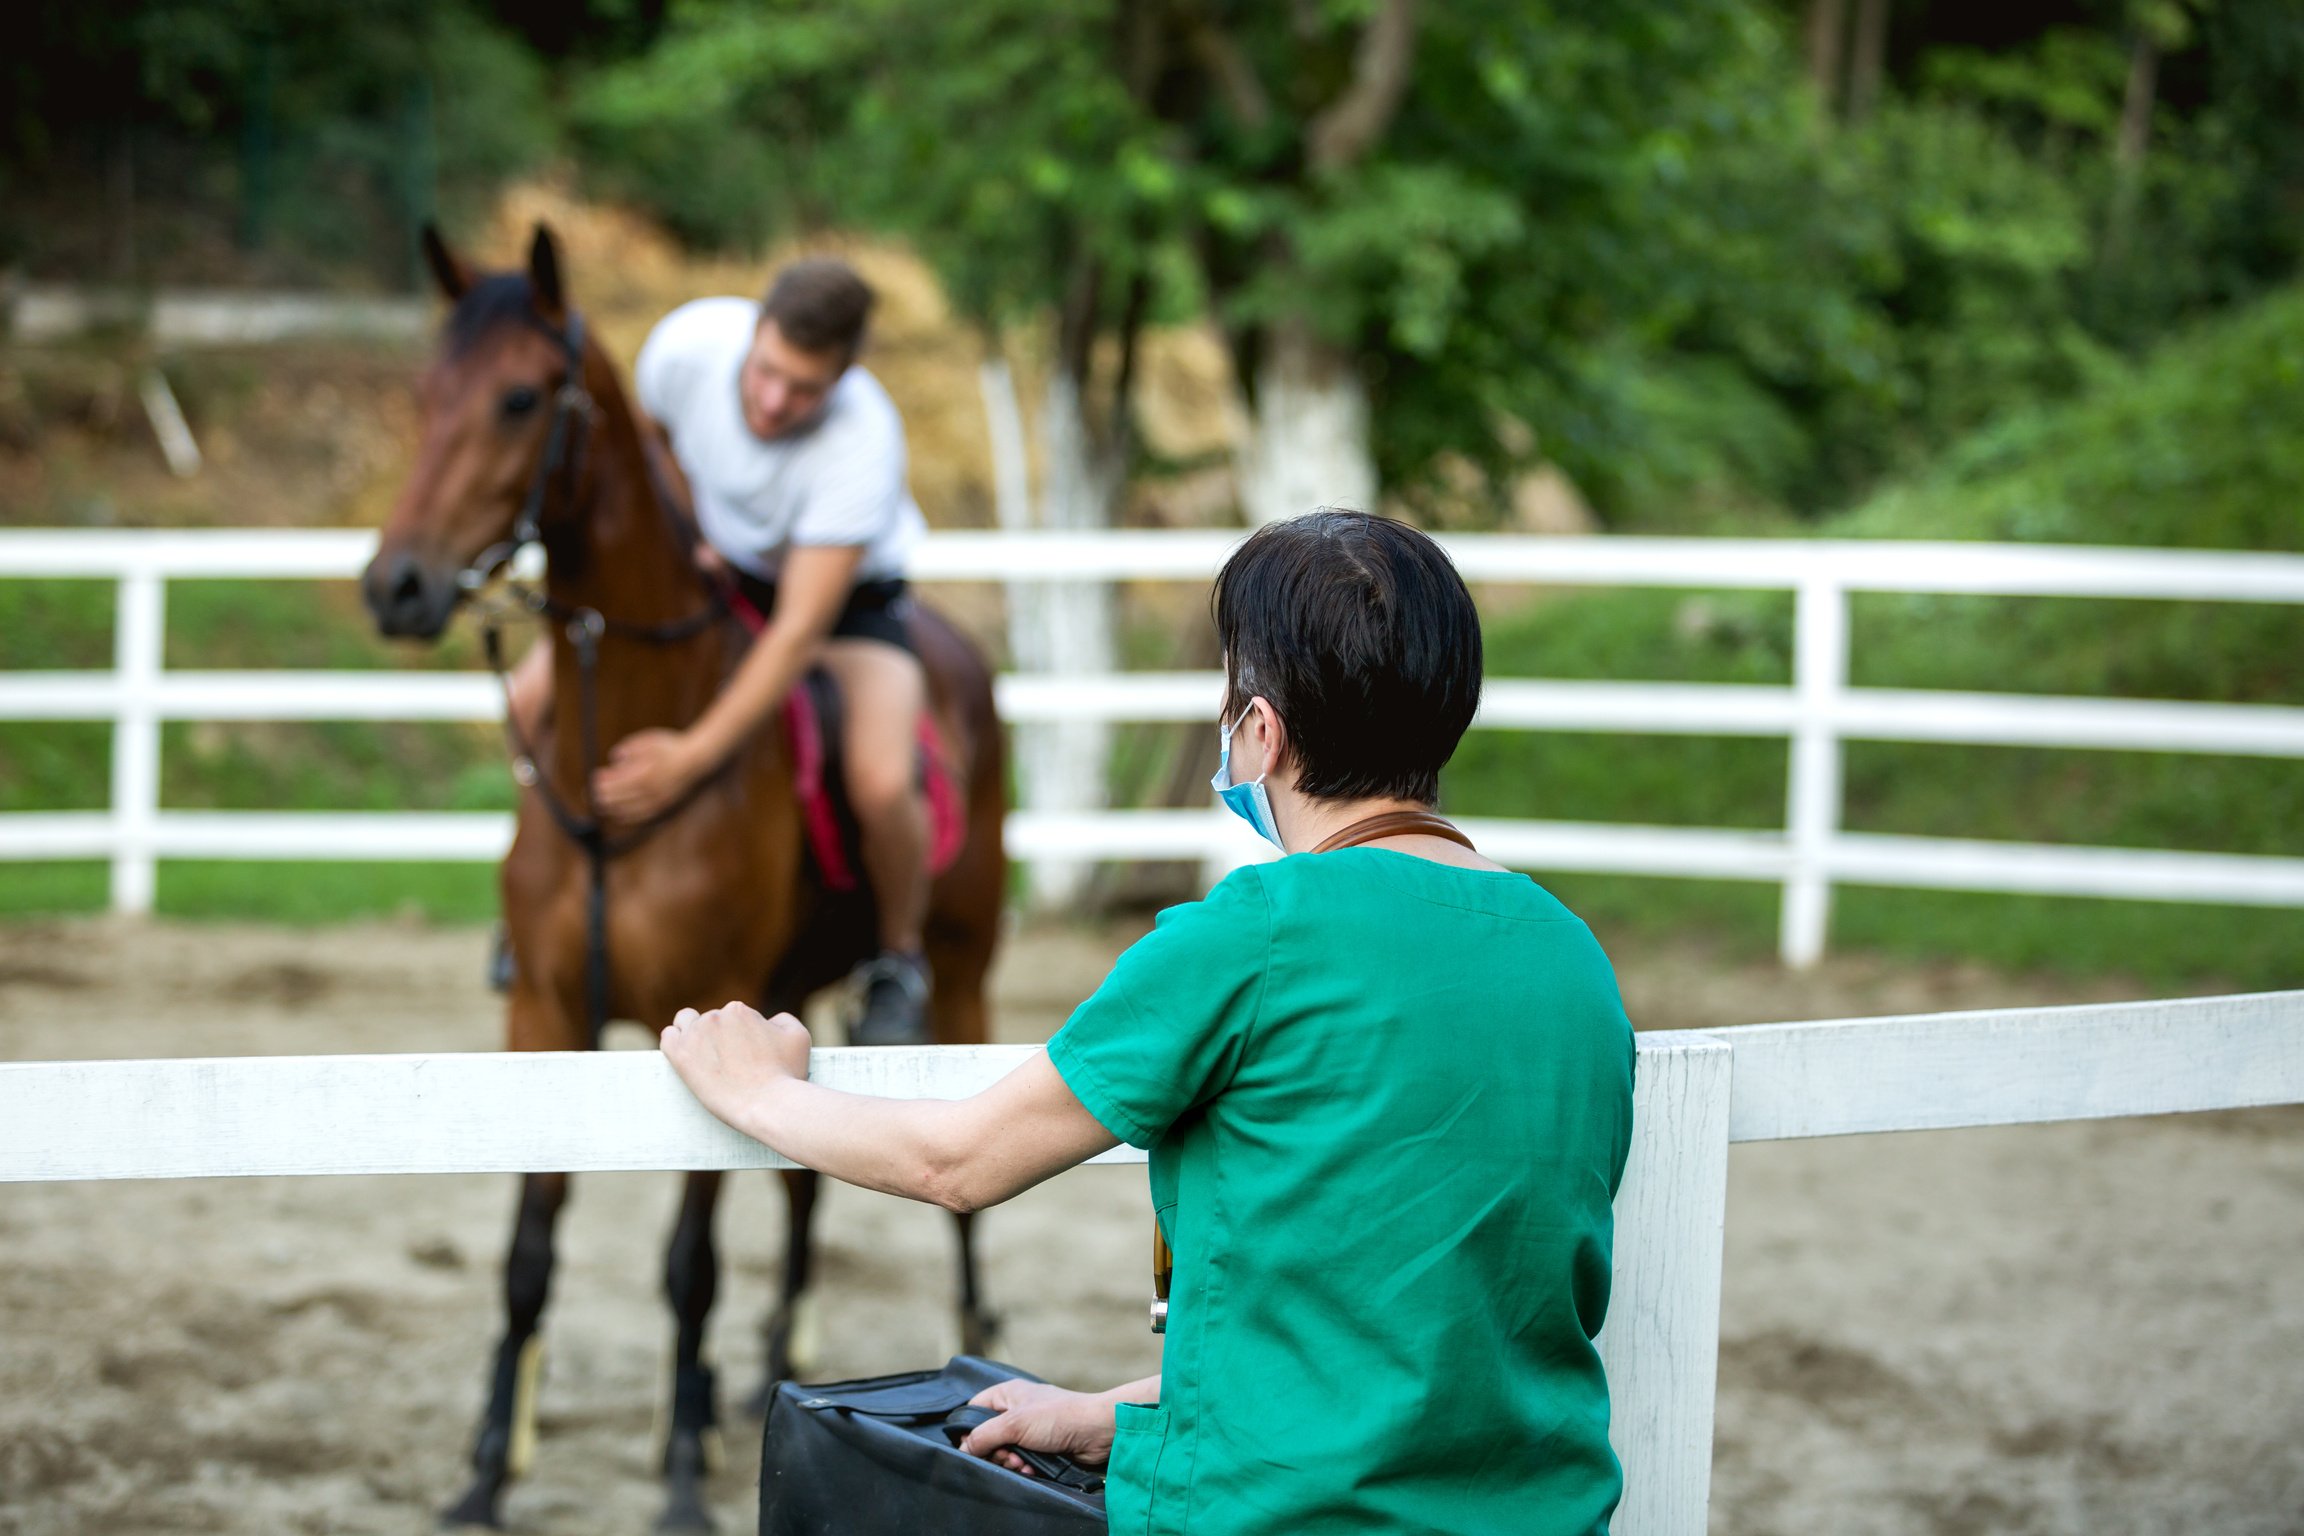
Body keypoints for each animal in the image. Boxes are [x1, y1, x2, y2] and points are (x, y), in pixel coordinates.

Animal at [361, 222, 1009, 1529]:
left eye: (519, 398)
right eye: (426, 391)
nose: (396, 584)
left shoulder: (708, 1012)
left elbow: (688, 1264)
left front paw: (674, 1479)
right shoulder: (543, 1019)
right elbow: (527, 1257)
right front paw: (486, 1472)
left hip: (958, 966)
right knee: (806, 1190)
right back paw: (758, 1374)